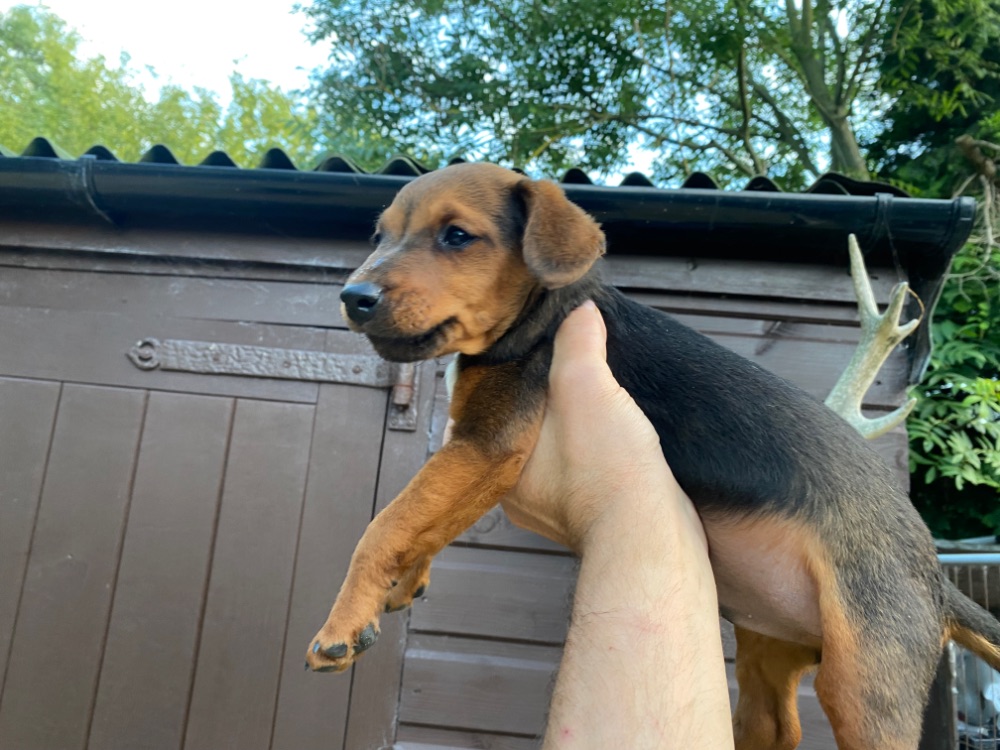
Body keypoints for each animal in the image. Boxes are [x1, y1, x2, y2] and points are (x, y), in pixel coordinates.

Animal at [305, 162, 1000, 749]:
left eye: (456, 236)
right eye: (380, 235)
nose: (352, 297)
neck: (538, 315)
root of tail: (938, 581)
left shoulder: (491, 444)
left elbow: (386, 523)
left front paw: (340, 625)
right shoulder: (480, 453)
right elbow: (429, 519)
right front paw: (405, 581)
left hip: (867, 684)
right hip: (771, 651)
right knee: (774, 730)